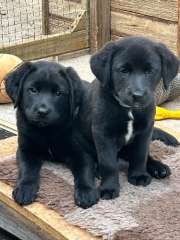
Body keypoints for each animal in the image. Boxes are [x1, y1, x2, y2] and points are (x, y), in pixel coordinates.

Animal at [5, 61, 99, 209]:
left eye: (58, 93)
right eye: (33, 90)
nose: (42, 112)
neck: (47, 131)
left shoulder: (82, 152)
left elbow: (85, 170)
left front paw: (86, 191)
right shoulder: (25, 149)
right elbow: (27, 169)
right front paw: (24, 188)